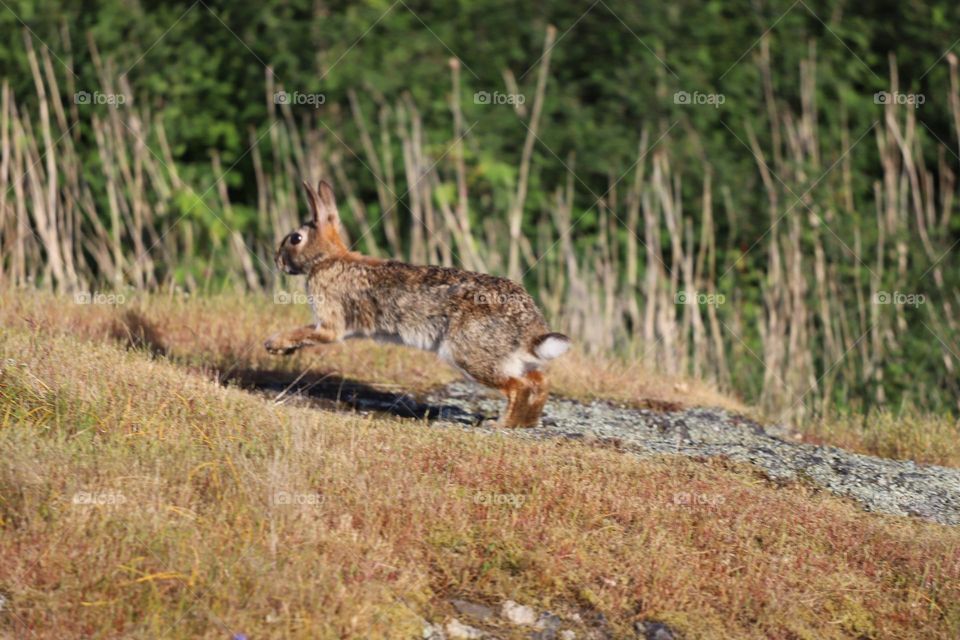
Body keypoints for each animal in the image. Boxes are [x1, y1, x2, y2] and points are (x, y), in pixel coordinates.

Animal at [264, 180, 568, 428]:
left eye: (295, 238)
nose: (276, 260)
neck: (326, 259)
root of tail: (530, 328)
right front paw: (282, 349)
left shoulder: (330, 323)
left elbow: (310, 332)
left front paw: (274, 344)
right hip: (512, 359)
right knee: (540, 382)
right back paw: (525, 424)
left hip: (470, 355)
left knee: (519, 387)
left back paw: (501, 424)